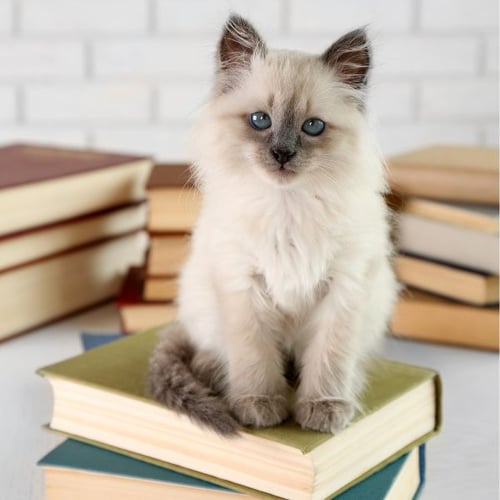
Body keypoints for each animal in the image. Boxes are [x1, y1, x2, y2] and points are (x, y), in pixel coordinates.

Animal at [146, 15, 396, 436]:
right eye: (260, 120)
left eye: (313, 127)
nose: (282, 154)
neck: (287, 206)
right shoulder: (244, 286)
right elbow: (255, 358)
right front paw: (259, 406)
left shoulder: (343, 289)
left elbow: (329, 359)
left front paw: (323, 409)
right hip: (201, 298)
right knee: (209, 348)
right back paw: (215, 373)